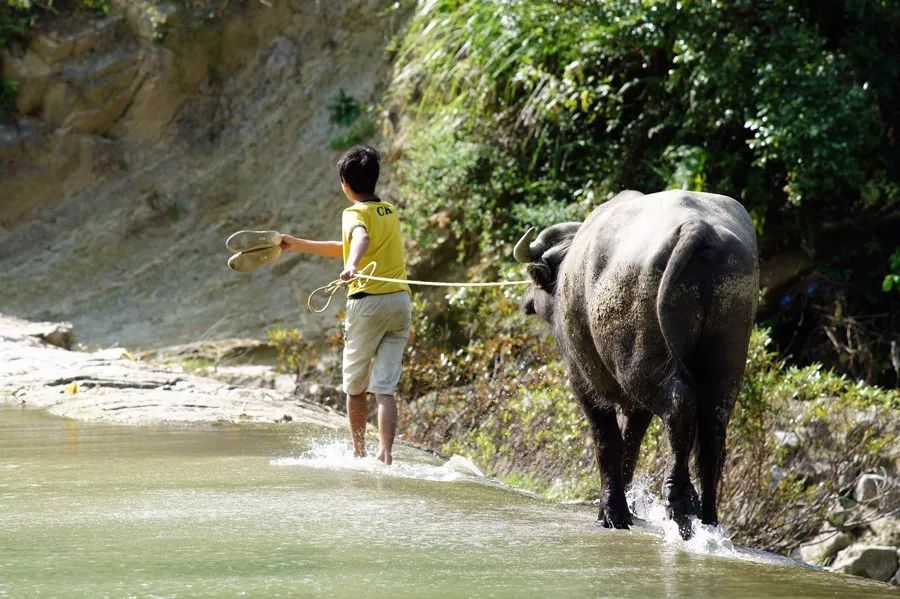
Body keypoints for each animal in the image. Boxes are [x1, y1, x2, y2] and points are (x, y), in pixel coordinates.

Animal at [512, 190, 760, 536]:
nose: (526, 302)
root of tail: (698, 227)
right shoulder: (637, 406)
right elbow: (631, 445)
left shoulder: (583, 383)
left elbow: (608, 443)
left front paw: (613, 513)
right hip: (726, 358)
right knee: (713, 428)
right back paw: (708, 516)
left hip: (639, 361)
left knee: (679, 405)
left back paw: (679, 500)